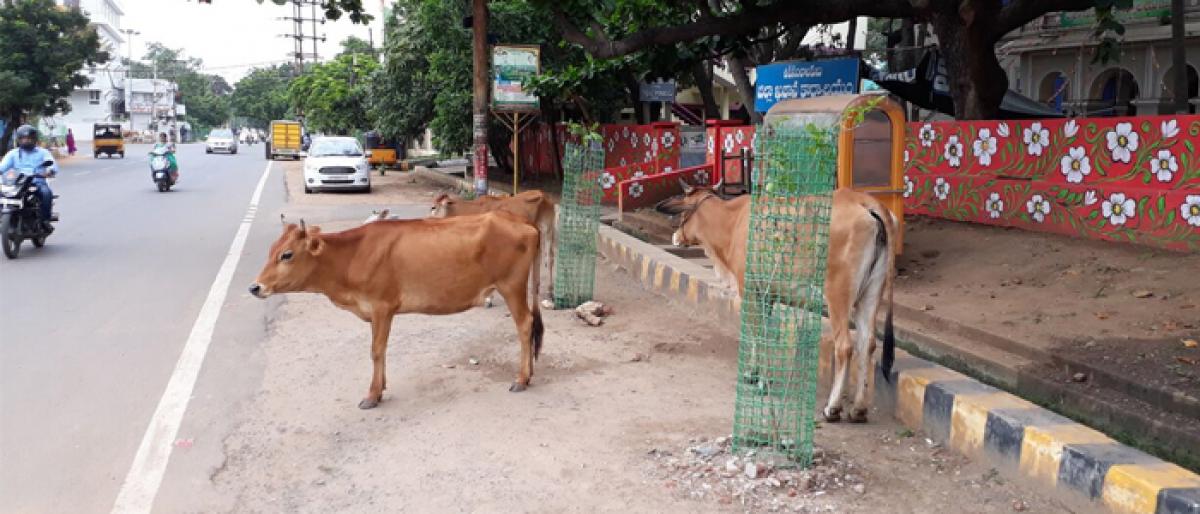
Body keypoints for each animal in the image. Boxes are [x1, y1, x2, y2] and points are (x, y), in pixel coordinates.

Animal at [250, 213, 547, 410]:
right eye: (271, 250)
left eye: (287, 254)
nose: (255, 287)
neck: (351, 256)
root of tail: (523, 222)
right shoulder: (375, 311)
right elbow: (379, 350)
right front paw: (380, 388)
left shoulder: (382, 306)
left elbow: (376, 350)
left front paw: (372, 396)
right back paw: (530, 373)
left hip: (511, 285)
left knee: (525, 324)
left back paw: (521, 378)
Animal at [657, 183, 902, 422]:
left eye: (683, 214)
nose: (675, 237)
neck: (731, 220)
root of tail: (865, 201)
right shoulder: (767, 296)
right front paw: (753, 373)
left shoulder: (750, 290)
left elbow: (758, 333)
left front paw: (762, 381)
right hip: (870, 295)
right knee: (867, 345)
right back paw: (859, 409)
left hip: (838, 295)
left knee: (845, 346)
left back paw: (832, 408)